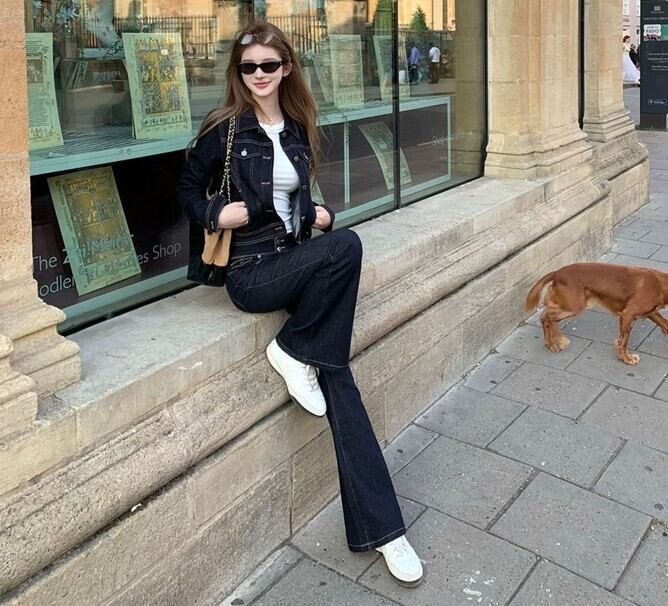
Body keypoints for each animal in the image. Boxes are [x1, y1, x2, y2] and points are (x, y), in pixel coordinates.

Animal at [525, 263, 668, 365]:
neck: (661, 284)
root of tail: (557, 273)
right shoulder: (628, 314)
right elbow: (624, 342)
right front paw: (627, 359)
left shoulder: (651, 313)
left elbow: (665, 324)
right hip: (574, 306)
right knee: (547, 317)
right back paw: (555, 342)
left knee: (544, 316)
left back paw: (549, 344)